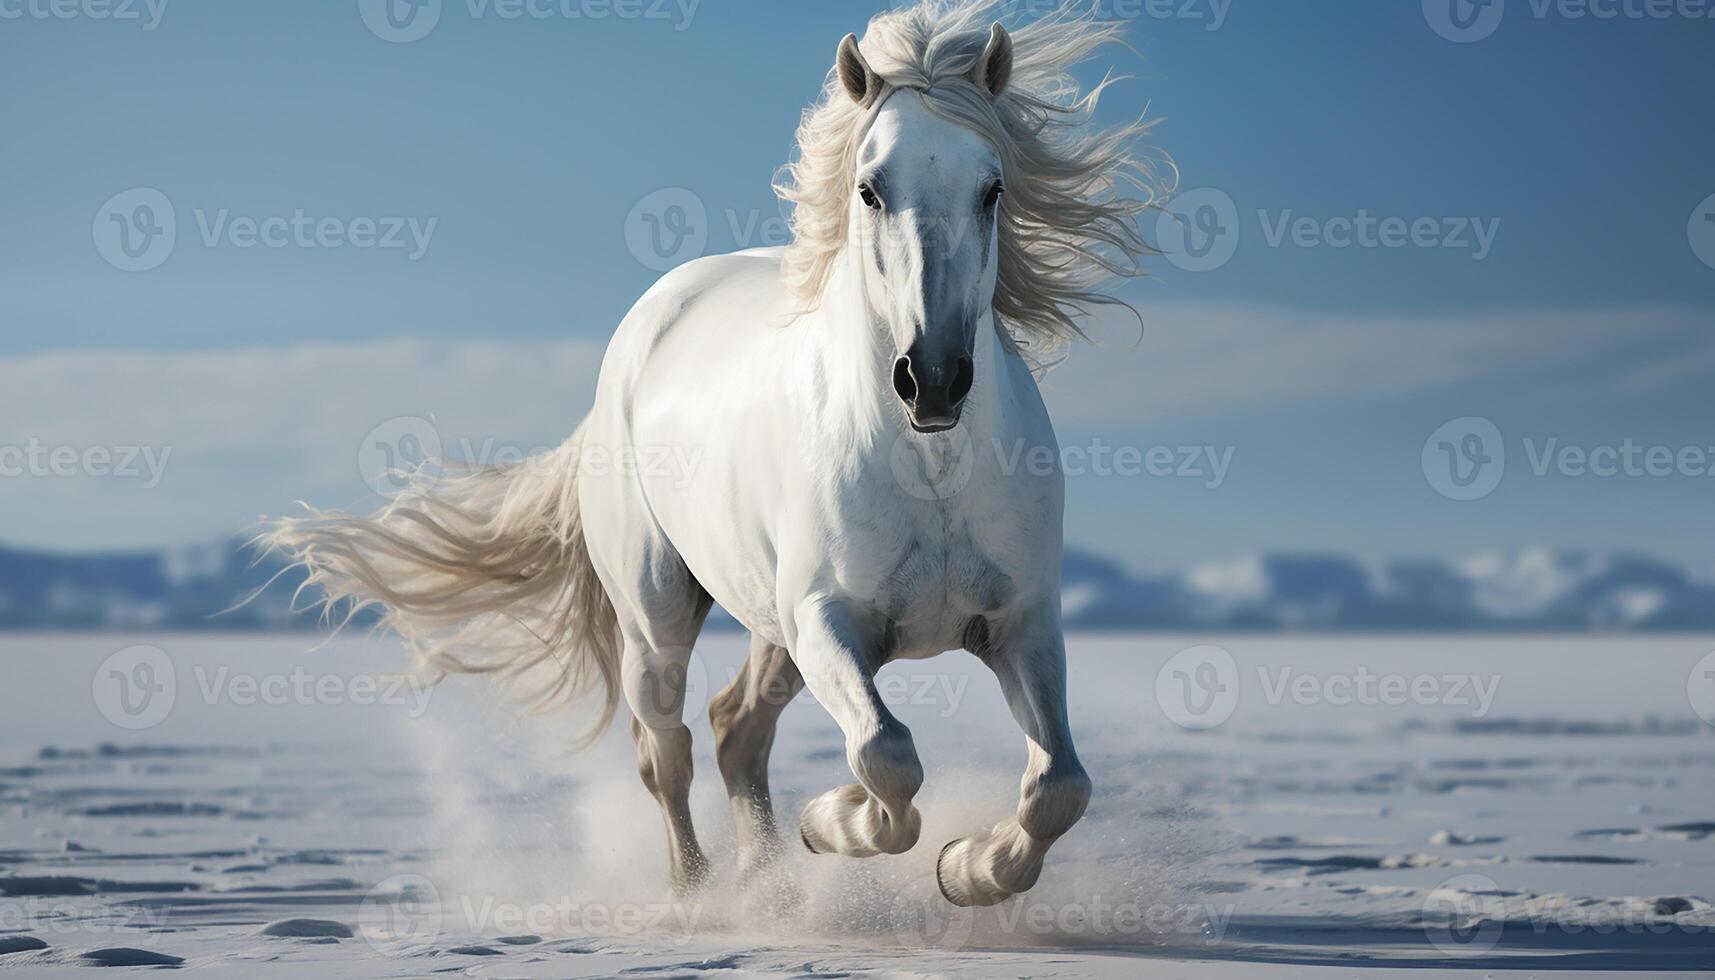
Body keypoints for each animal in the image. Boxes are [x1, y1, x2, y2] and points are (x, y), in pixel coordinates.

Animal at [267, 0, 1159, 906]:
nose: (933, 380)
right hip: (658, 616)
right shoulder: (827, 622)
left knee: (736, 729)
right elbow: (886, 757)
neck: (930, 474)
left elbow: (1058, 785)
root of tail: (638, 336)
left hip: (768, 621)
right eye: (870, 189)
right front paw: (833, 822)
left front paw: (965, 869)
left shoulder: (1022, 623)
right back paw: (701, 894)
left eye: (992, 187)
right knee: (669, 750)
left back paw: (769, 885)